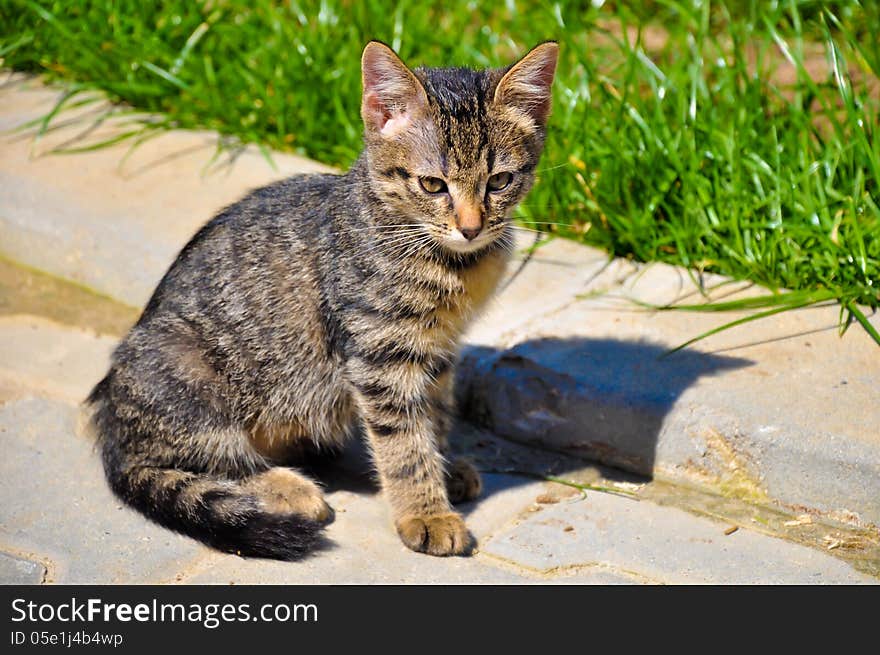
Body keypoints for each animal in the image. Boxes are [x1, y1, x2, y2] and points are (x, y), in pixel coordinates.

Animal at [86, 39, 560, 560]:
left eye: (500, 181)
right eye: (432, 185)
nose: (471, 227)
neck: (451, 262)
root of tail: (111, 422)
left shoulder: (439, 349)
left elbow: (433, 416)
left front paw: (443, 468)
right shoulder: (379, 352)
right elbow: (403, 442)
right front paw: (426, 512)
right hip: (187, 370)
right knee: (197, 457)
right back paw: (286, 488)